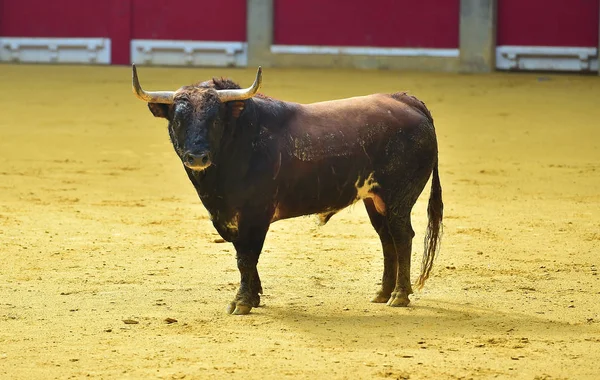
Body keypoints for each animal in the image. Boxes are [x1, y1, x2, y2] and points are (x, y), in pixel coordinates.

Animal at [130, 65, 440, 314]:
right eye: (177, 121)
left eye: (216, 120)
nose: (196, 157)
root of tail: (406, 100)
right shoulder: (229, 216)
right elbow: (244, 255)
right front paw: (253, 297)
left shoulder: (255, 214)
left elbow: (247, 256)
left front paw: (242, 302)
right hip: (375, 200)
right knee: (386, 239)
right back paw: (382, 293)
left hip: (399, 198)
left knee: (402, 236)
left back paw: (399, 296)